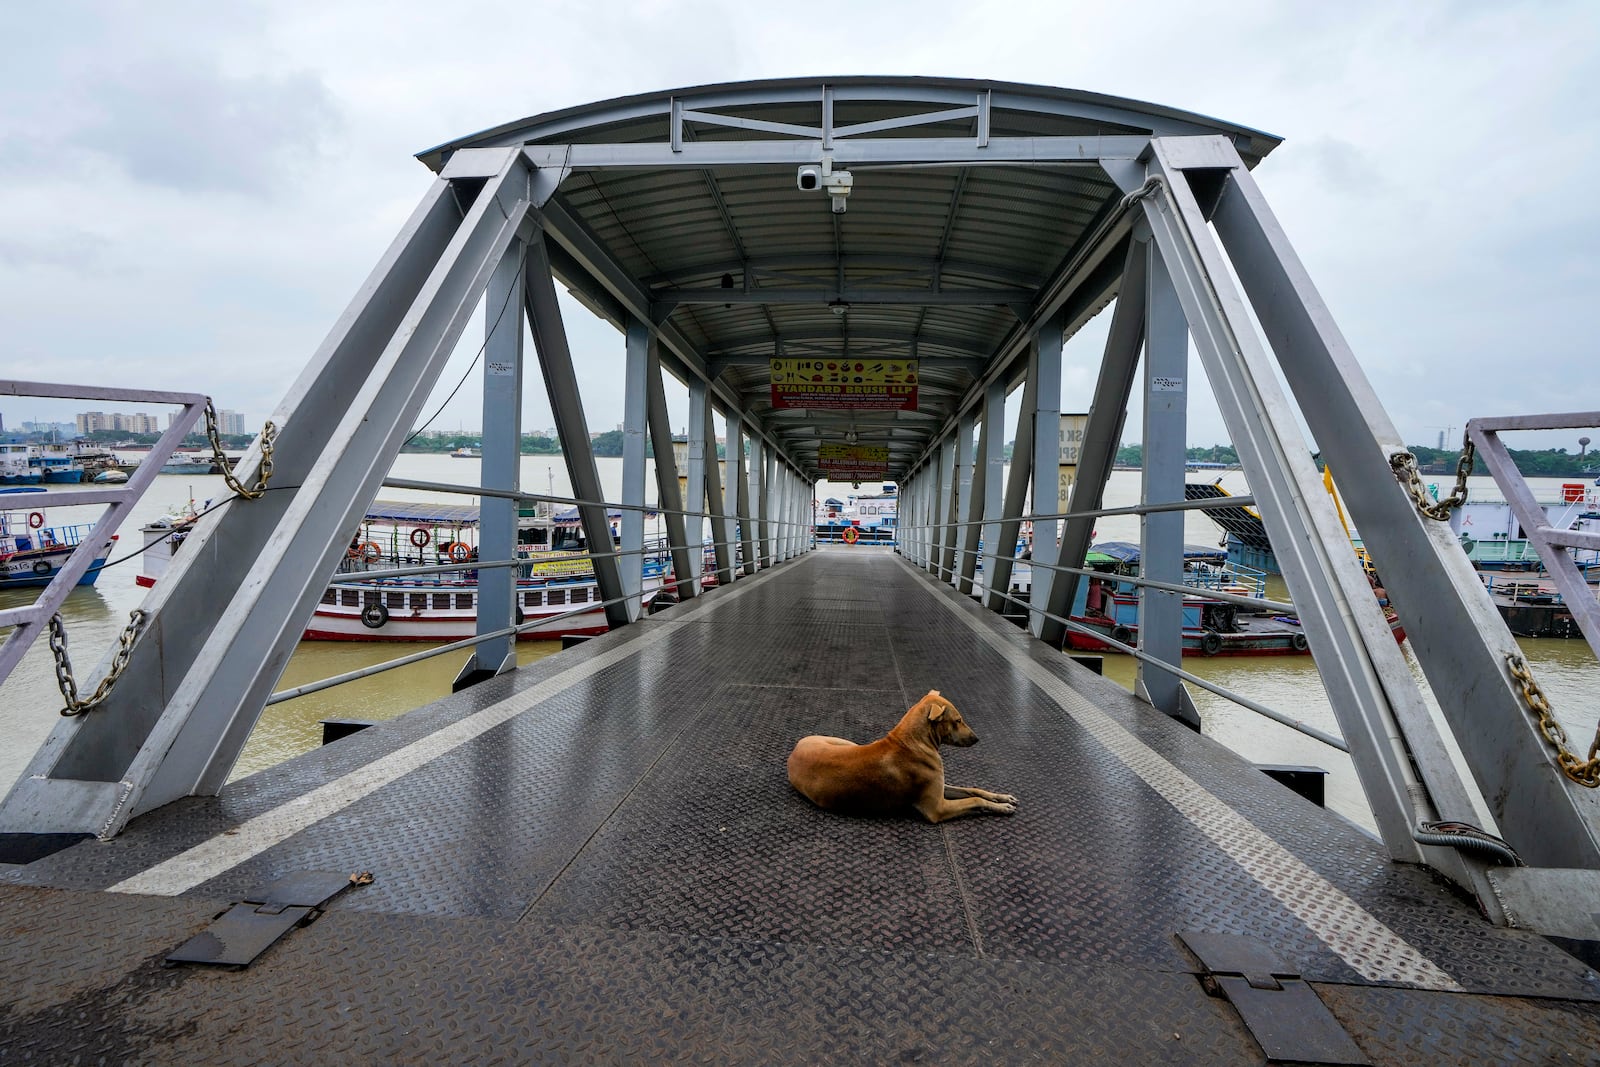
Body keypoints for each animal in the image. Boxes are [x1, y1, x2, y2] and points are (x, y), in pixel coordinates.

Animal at [790, 694, 1024, 825]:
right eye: (958, 720)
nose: (977, 739)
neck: (911, 742)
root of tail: (793, 752)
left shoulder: (941, 788)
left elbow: (973, 790)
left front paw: (1002, 798)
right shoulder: (937, 809)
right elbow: (974, 800)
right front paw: (1001, 807)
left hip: (845, 743)